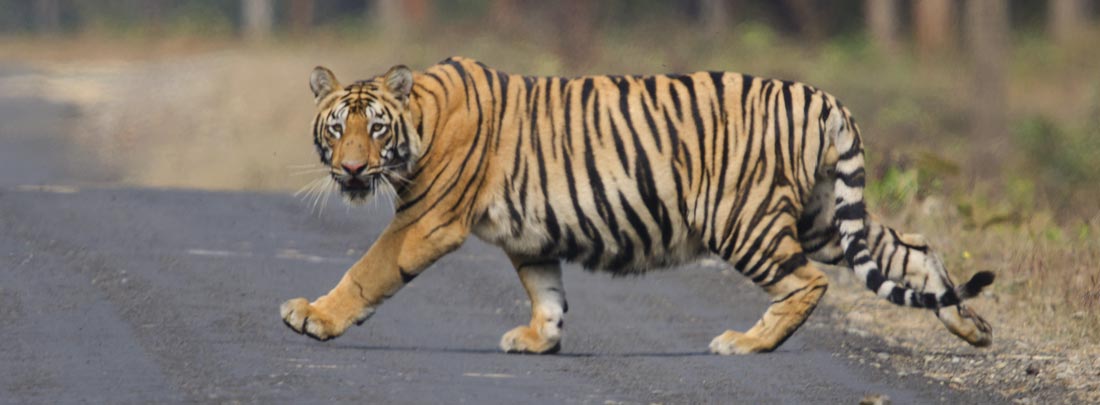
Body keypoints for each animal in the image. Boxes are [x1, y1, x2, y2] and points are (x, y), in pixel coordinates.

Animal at [280, 57, 994, 355]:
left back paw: (746, 343)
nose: (350, 170)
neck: (421, 118)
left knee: (806, 283)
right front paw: (540, 340)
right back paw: (973, 326)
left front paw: (313, 316)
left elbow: (368, 270)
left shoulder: (425, 221)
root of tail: (822, 97)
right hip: (822, 217)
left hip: (744, 220)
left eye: (374, 130)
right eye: (336, 129)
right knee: (914, 251)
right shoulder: (531, 237)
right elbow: (545, 290)